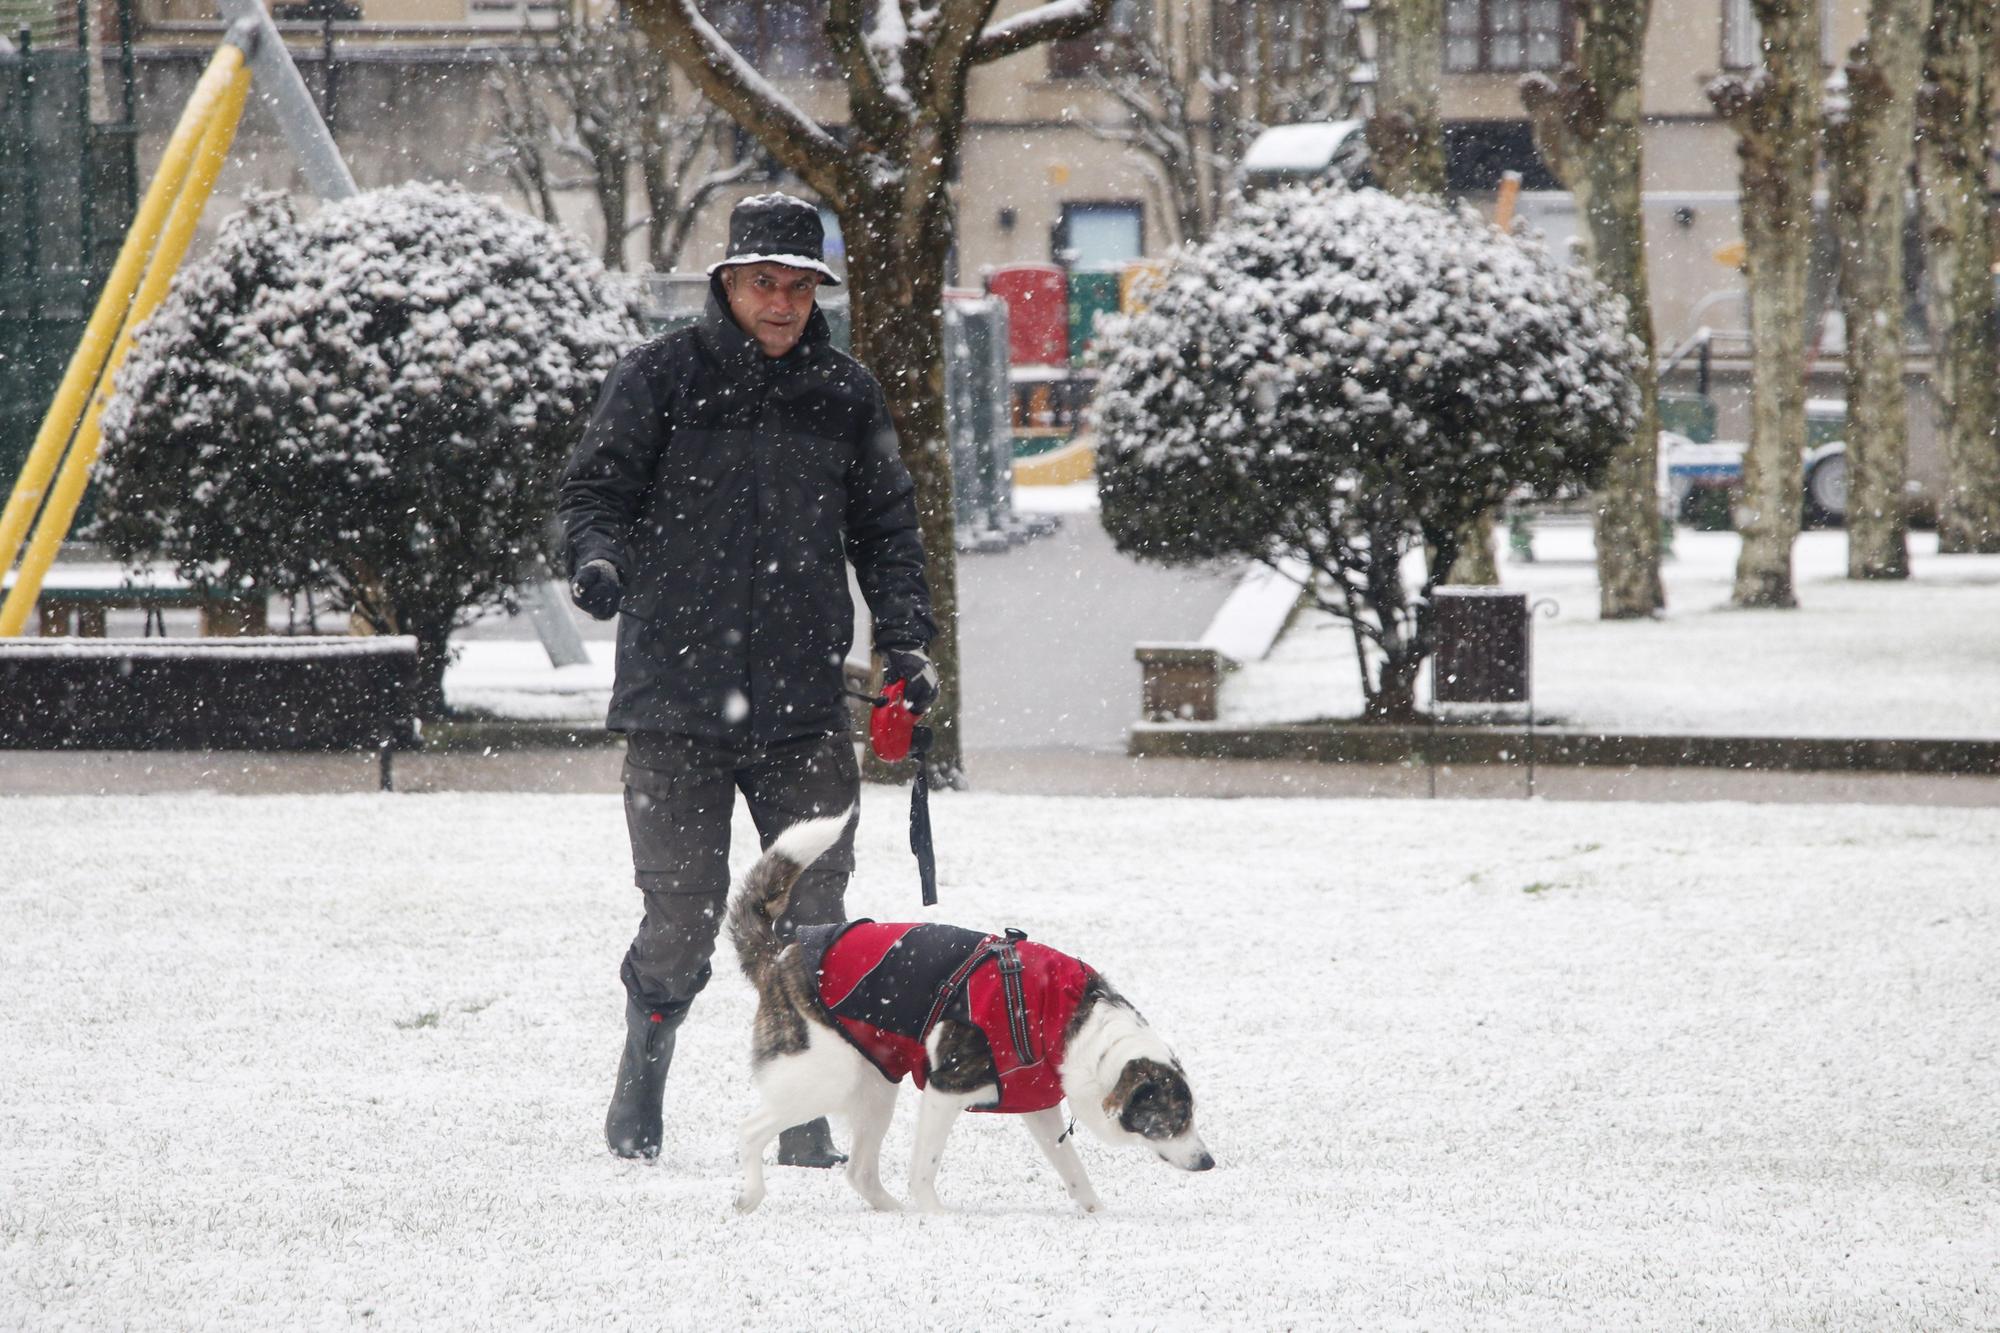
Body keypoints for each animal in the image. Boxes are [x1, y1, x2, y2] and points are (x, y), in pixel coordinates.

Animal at [728, 804, 1208, 1208]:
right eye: (1176, 1116)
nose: (1209, 1162)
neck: (1073, 1024)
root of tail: (781, 955)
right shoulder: (946, 1090)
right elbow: (924, 1170)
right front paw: (935, 1218)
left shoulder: (1037, 1106)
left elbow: (1075, 1173)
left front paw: (1096, 1214)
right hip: (826, 1074)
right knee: (750, 1130)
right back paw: (750, 1195)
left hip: (875, 1083)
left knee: (859, 1173)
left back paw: (894, 1212)